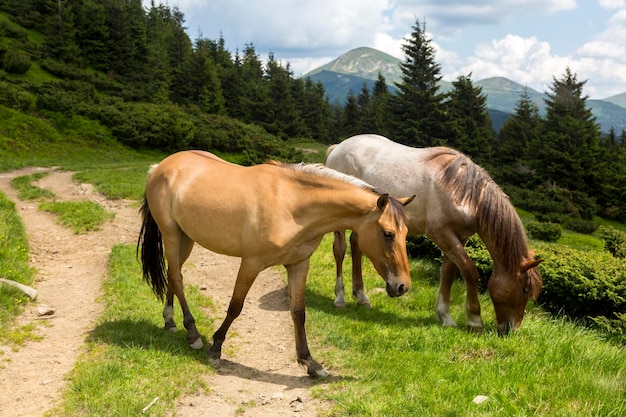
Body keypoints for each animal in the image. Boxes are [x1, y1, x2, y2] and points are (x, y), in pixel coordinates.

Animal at [136, 150, 414, 376]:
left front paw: (310, 362)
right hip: (171, 235)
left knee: (174, 274)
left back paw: (171, 322)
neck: (292, 204)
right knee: (177, 277)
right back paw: (192, 334)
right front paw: (215, 349)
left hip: (186, 238)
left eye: (405, 233)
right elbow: (235, 306)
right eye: (388, 234)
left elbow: (298, 312)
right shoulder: (251, 262)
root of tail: (160, 167)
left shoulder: (299, 264)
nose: (402, 286)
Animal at [324, 135, 540, 334]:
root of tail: (338, 147)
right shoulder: (442, 235)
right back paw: (340, 298)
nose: (512, 329)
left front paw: (445, 316)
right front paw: (474, 320)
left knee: (356, 247)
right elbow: (470, 272)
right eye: (524, 289)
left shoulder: (458, 237)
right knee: (340, 250)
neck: (463, 192)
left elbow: (448, 273)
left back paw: (361, 297)